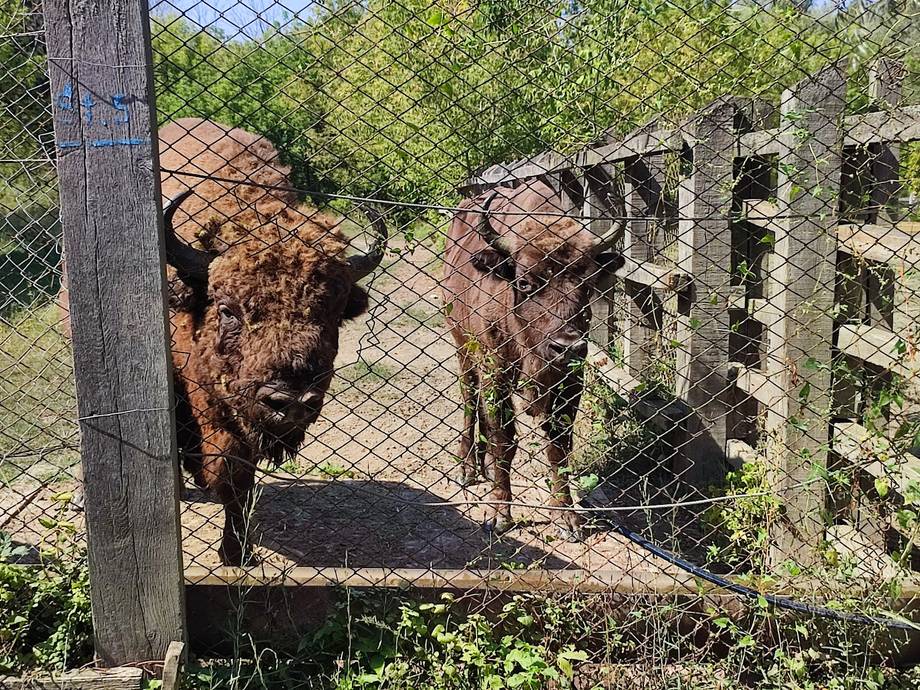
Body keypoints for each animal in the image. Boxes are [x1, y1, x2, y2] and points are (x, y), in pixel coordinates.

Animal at [441, 180, 623, 540]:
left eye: (588, 284)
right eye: (524, 282)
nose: (567, 347)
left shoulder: (570, 381)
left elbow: (559, 445)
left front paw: (567, 518)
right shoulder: (496, 370)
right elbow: (505, 439)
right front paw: (500, 514)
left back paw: (482, 464)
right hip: (463, 346)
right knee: (470, 399)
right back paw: (467, 468)